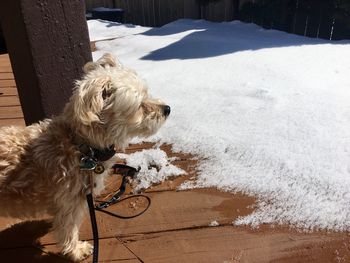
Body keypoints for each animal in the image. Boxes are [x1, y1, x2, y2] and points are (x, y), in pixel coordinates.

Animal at [0, 53, 171, 262]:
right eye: (139, 105)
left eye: (147, 93)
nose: (167, 109)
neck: (82, 147)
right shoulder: (69, 204)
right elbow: (68, 230)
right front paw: (76, 251)